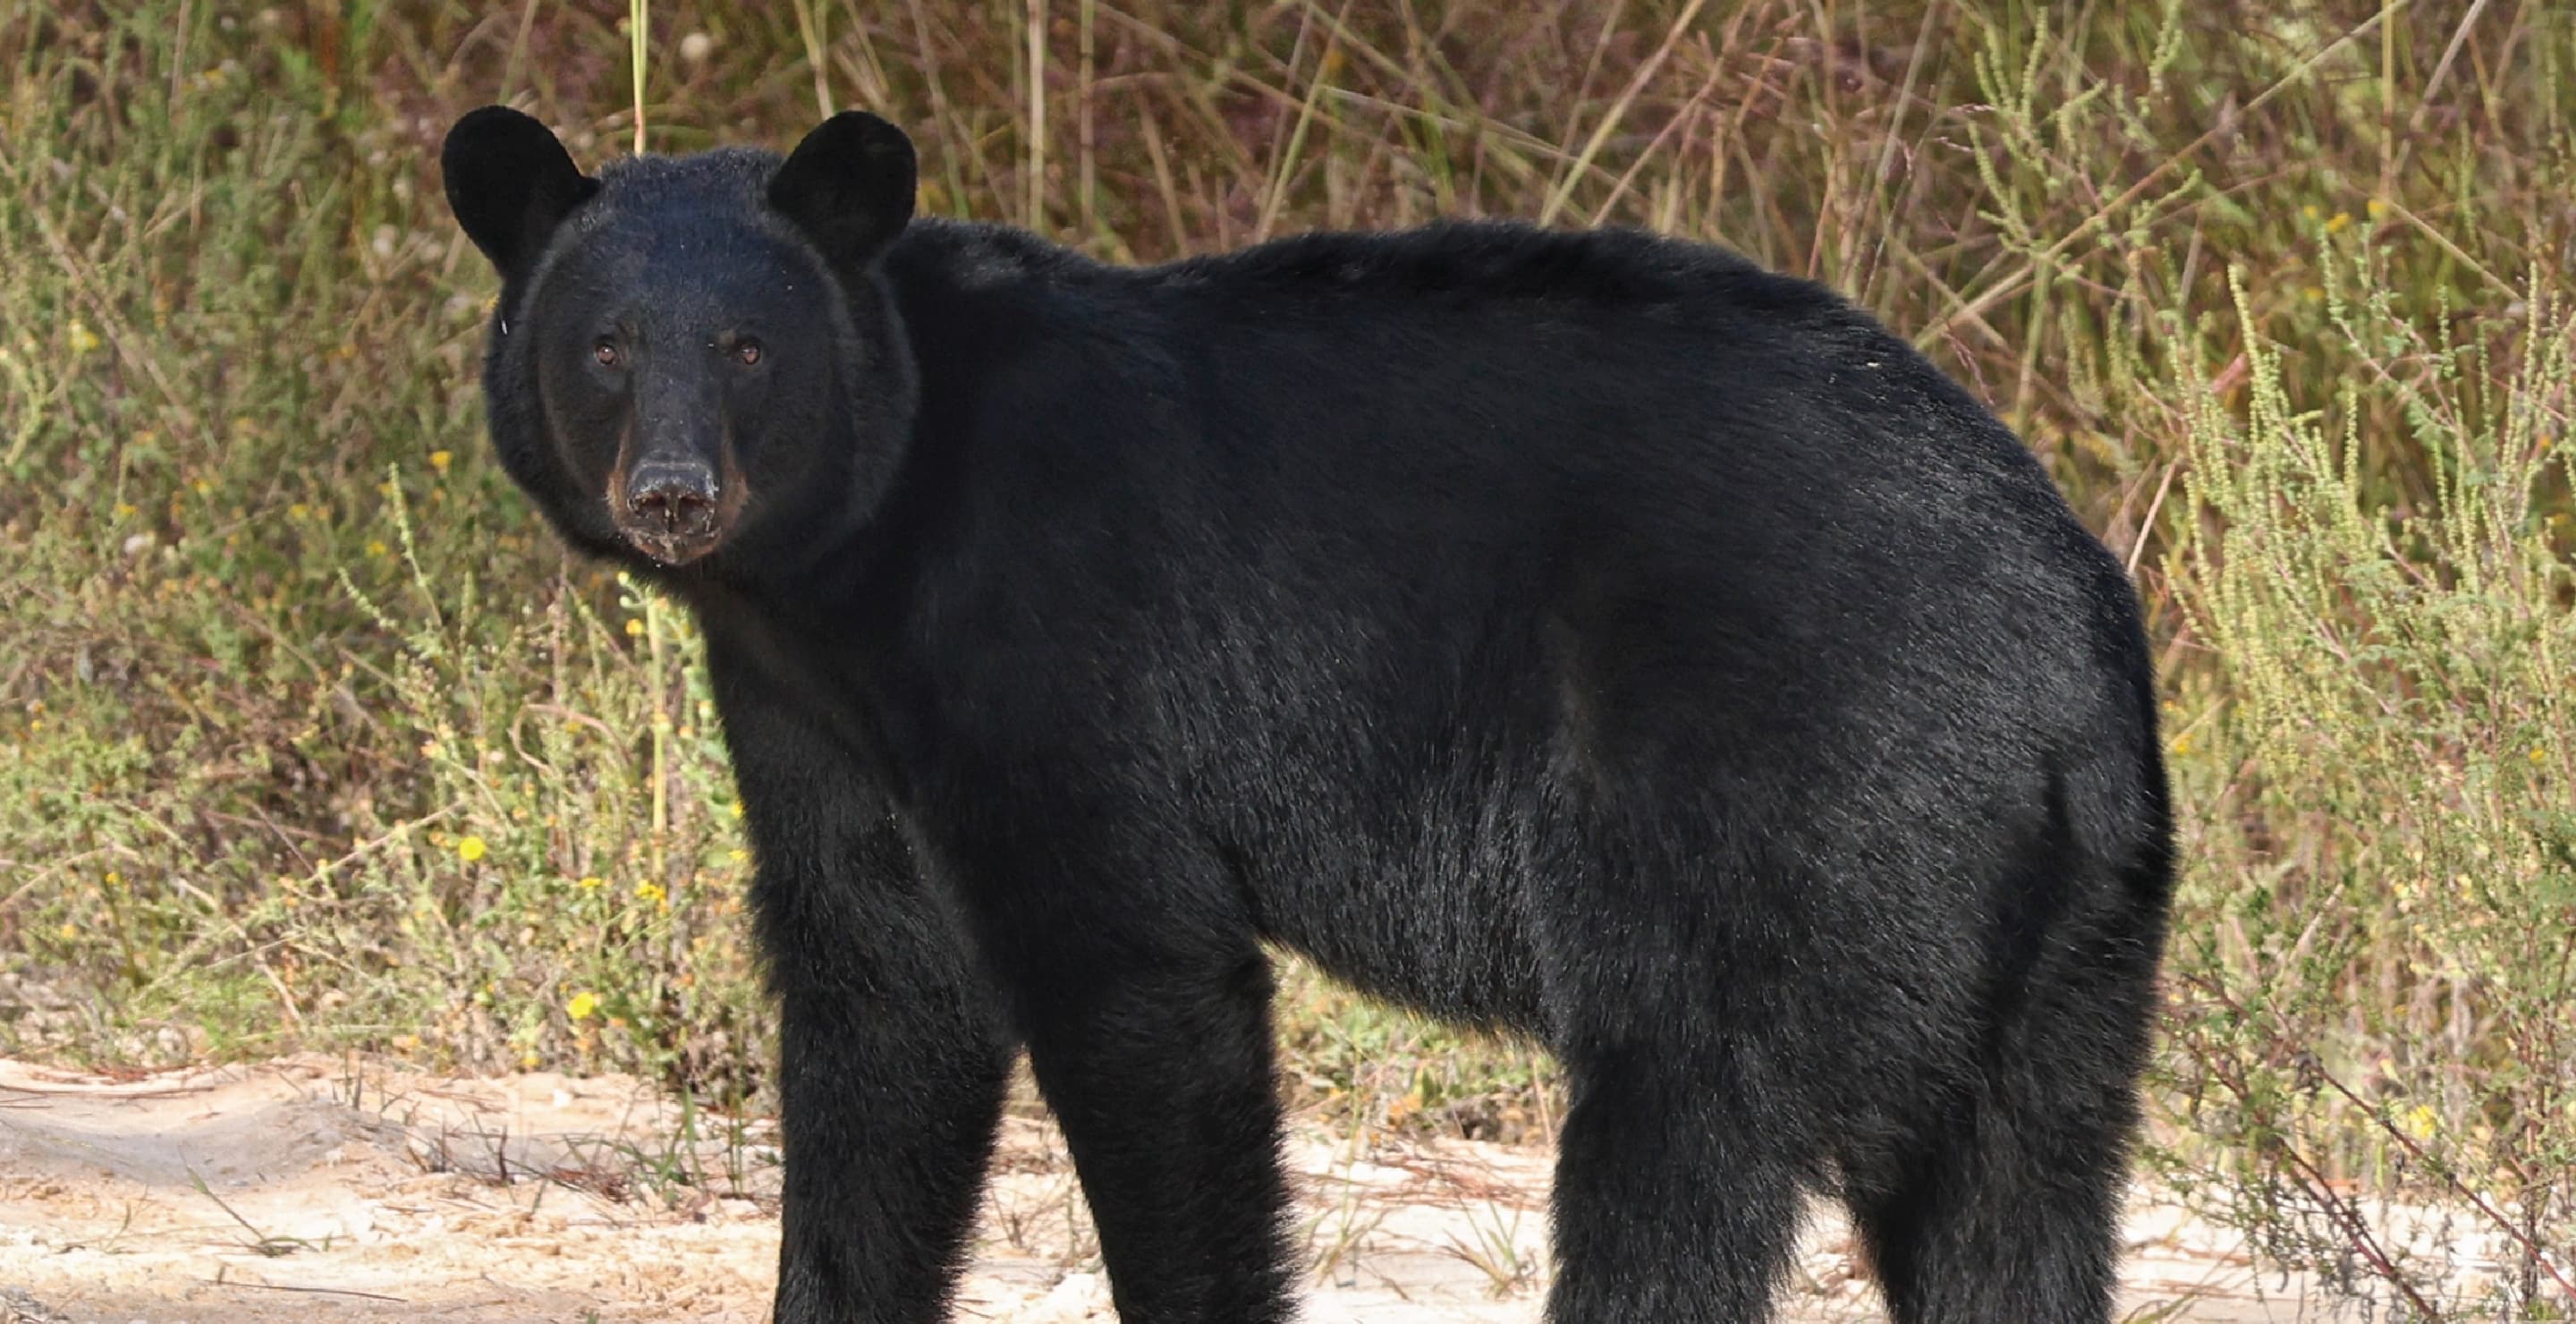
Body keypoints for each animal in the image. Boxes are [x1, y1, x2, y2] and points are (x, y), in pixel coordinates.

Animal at [439, 105, 2174, 1324]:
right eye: (605, 346)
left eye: (749, 346)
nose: (676, 495)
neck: (868, 547)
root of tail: (2069, 652)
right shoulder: (816, 711)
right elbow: (879, 1001)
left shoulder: (1055, 649)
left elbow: (1137, 982)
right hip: (2058, 943)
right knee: (2018, 1201)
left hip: (1792, 803)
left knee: (1684, 1136)